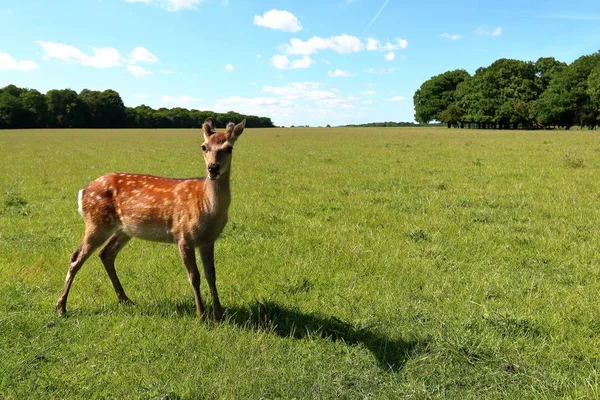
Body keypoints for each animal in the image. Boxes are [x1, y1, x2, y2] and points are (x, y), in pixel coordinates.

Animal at [55, 117, 245, 320]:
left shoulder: (208, 240)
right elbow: (194, 276)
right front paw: (201, 315)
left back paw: (125, 299)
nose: (213, 168)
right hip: (96, 223)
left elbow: (211, 275)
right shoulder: (183, 236)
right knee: (76, 257)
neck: (207, 207)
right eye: (204, 147)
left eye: (229, 148)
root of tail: (83, 192)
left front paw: (219, 314)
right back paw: (61, 307)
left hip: (124, 229)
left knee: (106, 253)